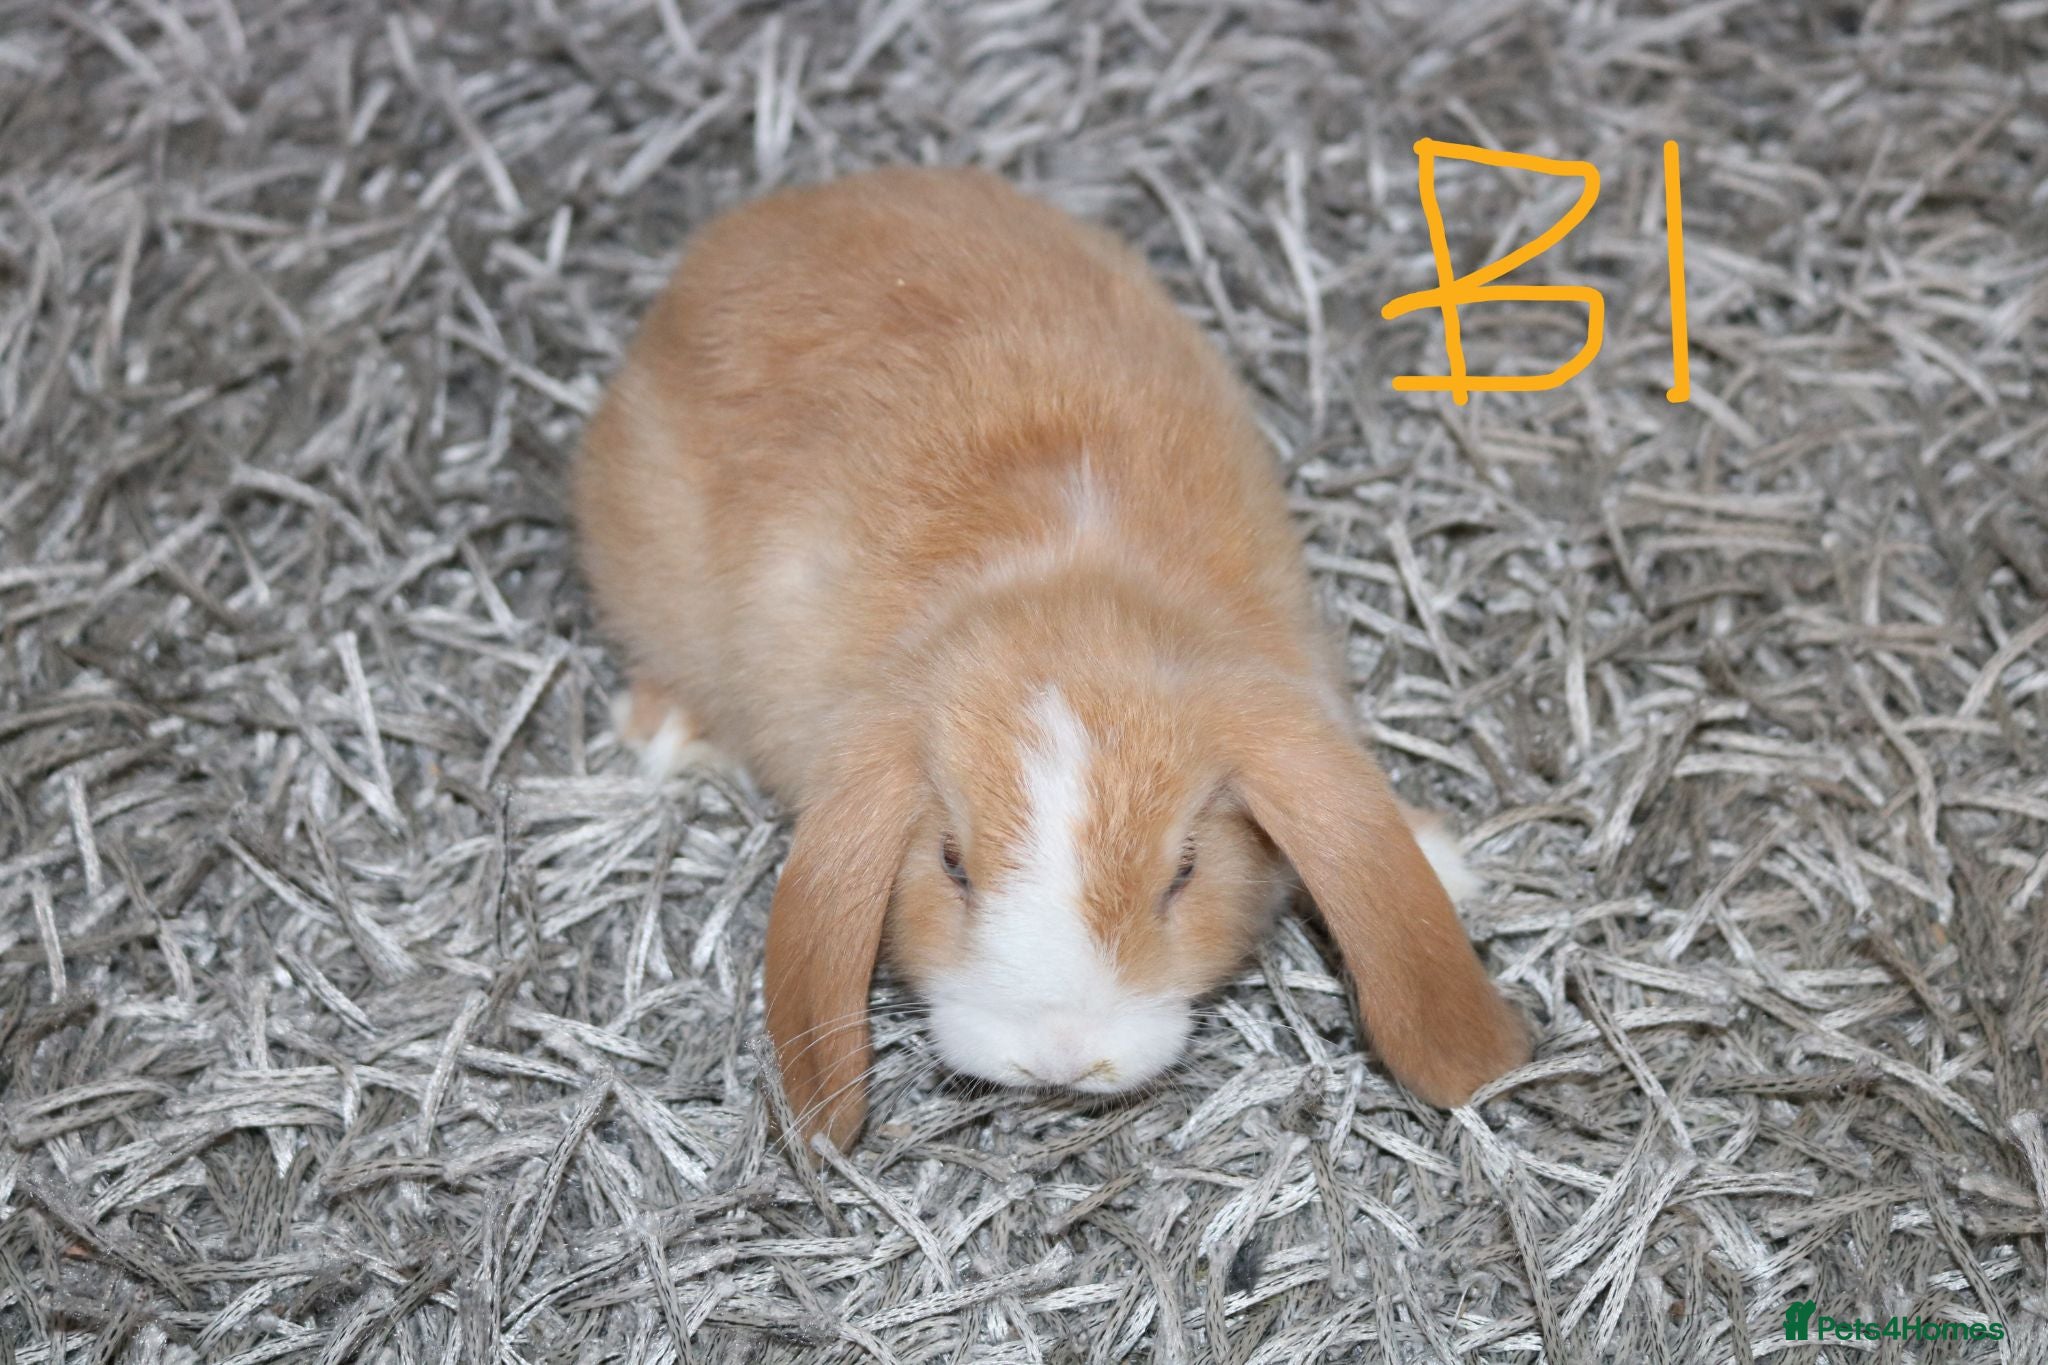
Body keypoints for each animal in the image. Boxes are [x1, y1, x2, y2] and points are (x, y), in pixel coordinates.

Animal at [574, 167, 1530, 1149]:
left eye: (1185, 870)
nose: (1061, 1057)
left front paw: (1442, 859)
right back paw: (675, 735)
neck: (1064, 595)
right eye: (951, 863)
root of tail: (762, 224)